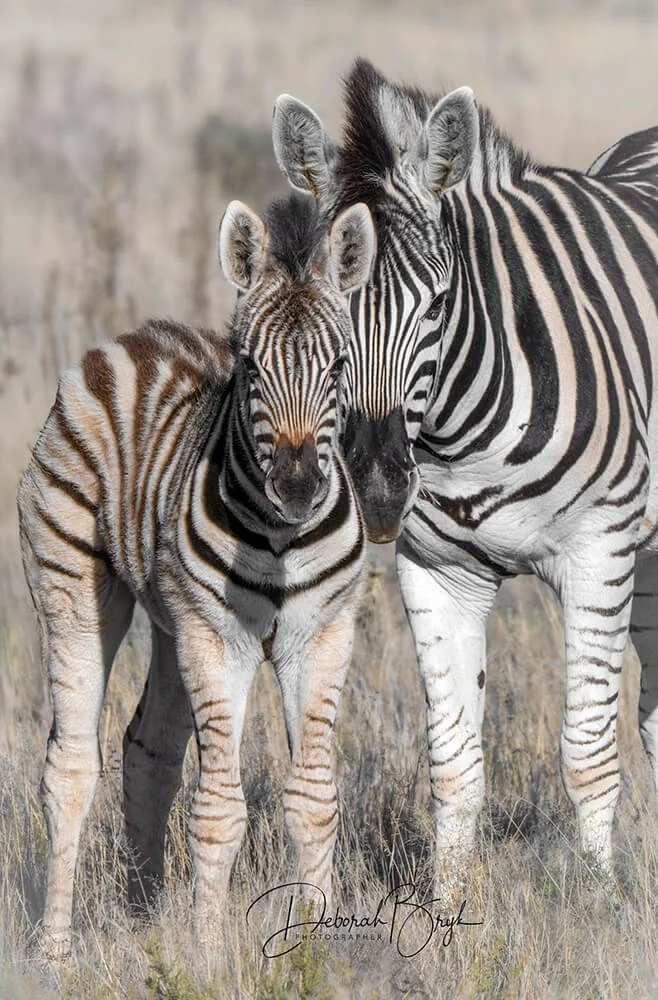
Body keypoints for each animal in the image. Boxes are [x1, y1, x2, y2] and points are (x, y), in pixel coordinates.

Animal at [17, 191, 375, 959]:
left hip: (170, 620)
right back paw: (55, 952)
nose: (297, 488)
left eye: (339, 367)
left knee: (148, 750)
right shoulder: (220, 638)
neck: (279, 537)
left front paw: (320, 948)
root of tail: (133, 339)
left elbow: (314, 799)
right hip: (78, 583)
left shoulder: (323, 635)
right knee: (70, 768)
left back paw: (144, 915)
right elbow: (217, 810)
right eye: (251, 369)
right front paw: (211, 958)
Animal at [272, 58, 658, 885]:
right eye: (327, 309)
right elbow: (453, 762)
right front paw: (447, 909)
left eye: (438, 304)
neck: (459, 438)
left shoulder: (599, 554)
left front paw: (602, 898)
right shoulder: (437, 572)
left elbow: (588, 752)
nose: (380, 488)